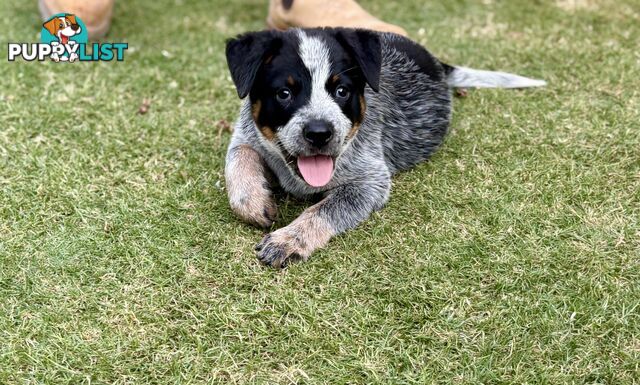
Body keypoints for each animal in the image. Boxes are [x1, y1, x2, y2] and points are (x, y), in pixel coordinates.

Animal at [222, 27, 544, 268]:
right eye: (284, 93)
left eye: (342, 91)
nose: (319, 132)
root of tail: (436, 61)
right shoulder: (245, 135)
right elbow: (238, 157)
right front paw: (254, 201)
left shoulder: (370, 181)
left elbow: (324, 210)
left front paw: (289, 239)